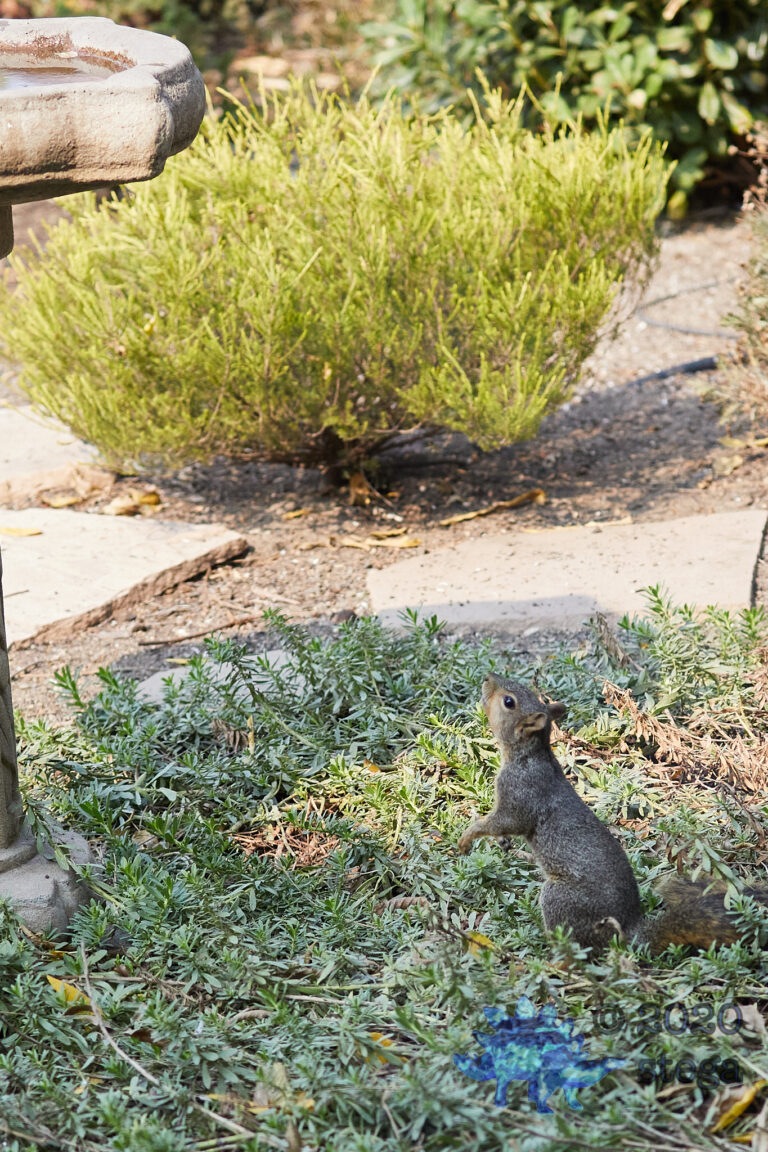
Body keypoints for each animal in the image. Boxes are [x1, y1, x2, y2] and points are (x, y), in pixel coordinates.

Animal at [458, 673, 767, 954]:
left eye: (509, 702)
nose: (487, 678)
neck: (527, 755)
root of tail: (628, 930)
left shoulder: (522, 792)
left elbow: (507, 821)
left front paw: (468, 836)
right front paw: (500, 842)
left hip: (561, 900)